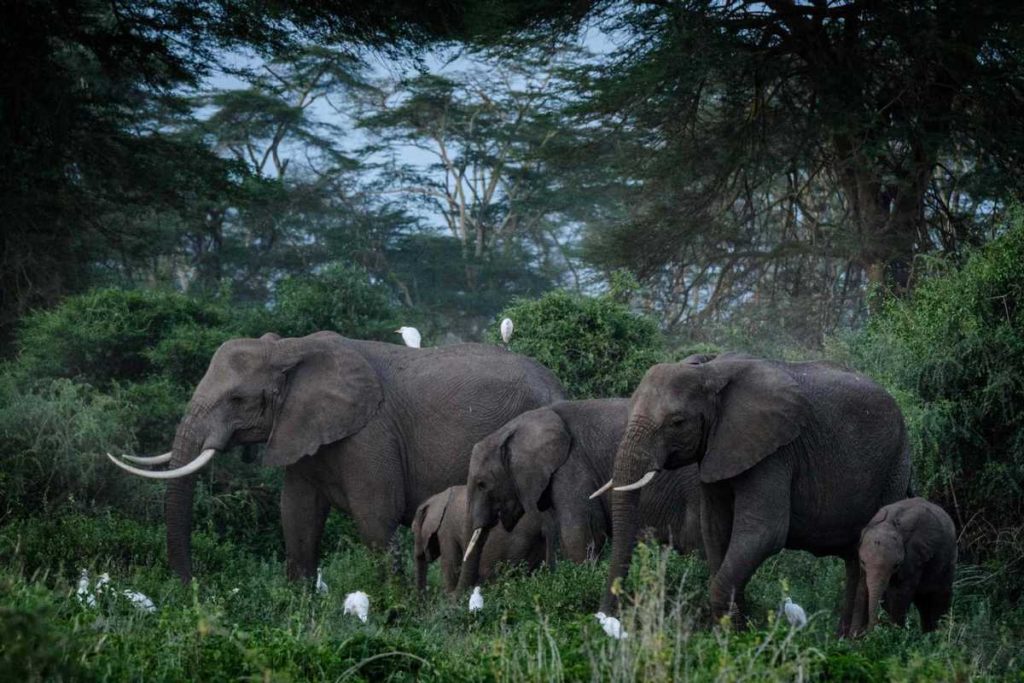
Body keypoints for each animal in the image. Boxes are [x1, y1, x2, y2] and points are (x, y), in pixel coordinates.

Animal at [594, 352, 912, 634]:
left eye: (677, 422)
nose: (606, 618)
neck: (709, 371)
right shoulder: (717, 449)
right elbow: (715, 529)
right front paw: (732, 633)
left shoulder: (776, 452)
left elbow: (763, 533)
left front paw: (732, 639)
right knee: (854, 559)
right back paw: (844, 640)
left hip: (894, 468)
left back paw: (860, 643)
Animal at [851, 497, 957, 635]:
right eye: (863, 562)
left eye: (896, 565)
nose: (869, 631)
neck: (890, 524)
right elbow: (862, 589)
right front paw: (853, 637)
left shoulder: (913, 558)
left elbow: (900, 593)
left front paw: (895, 634)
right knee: (923, 602)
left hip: (948, 559)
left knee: (939, 596)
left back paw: (938, 635)